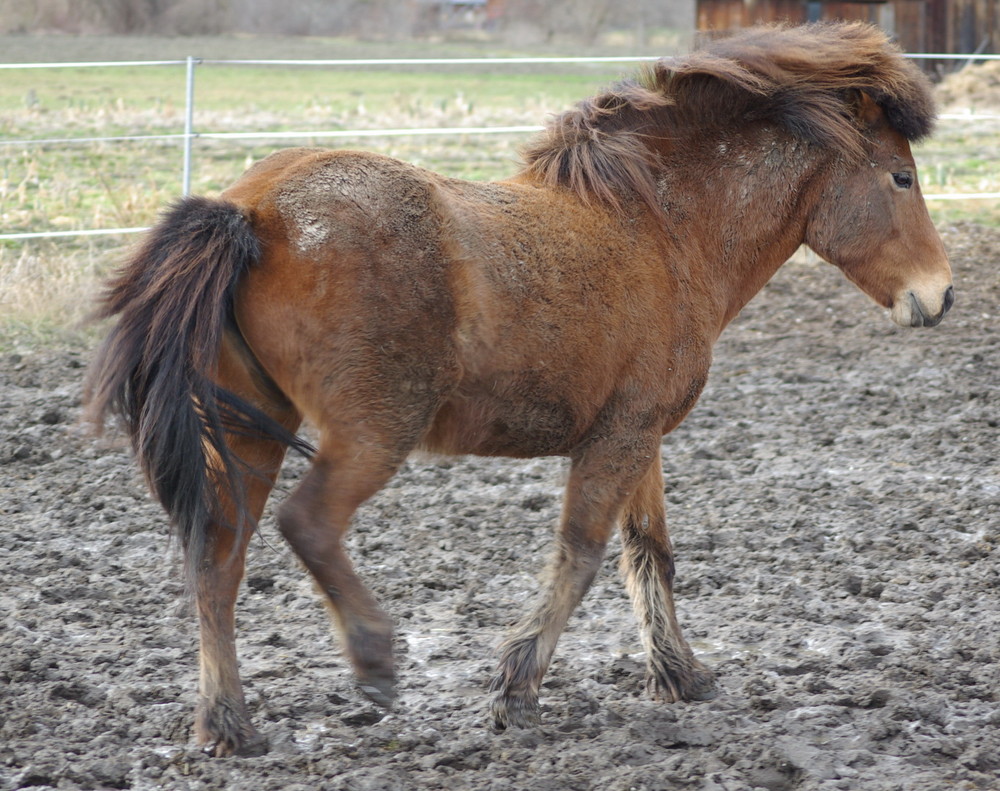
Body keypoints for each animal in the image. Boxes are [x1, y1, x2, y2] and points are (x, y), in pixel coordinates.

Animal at [86, 21, 952, 756]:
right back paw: (373, 658)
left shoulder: (640, 433)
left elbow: (649, 551)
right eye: (901, 176)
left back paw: (228, 723)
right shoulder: (619, 437)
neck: (661, 230)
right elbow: (581, 554)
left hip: (252, 430)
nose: (939, 296)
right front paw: (517, 689)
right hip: (370, 432)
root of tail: (252, 209)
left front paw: (682, 675)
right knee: (308, 523)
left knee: (217, 557)